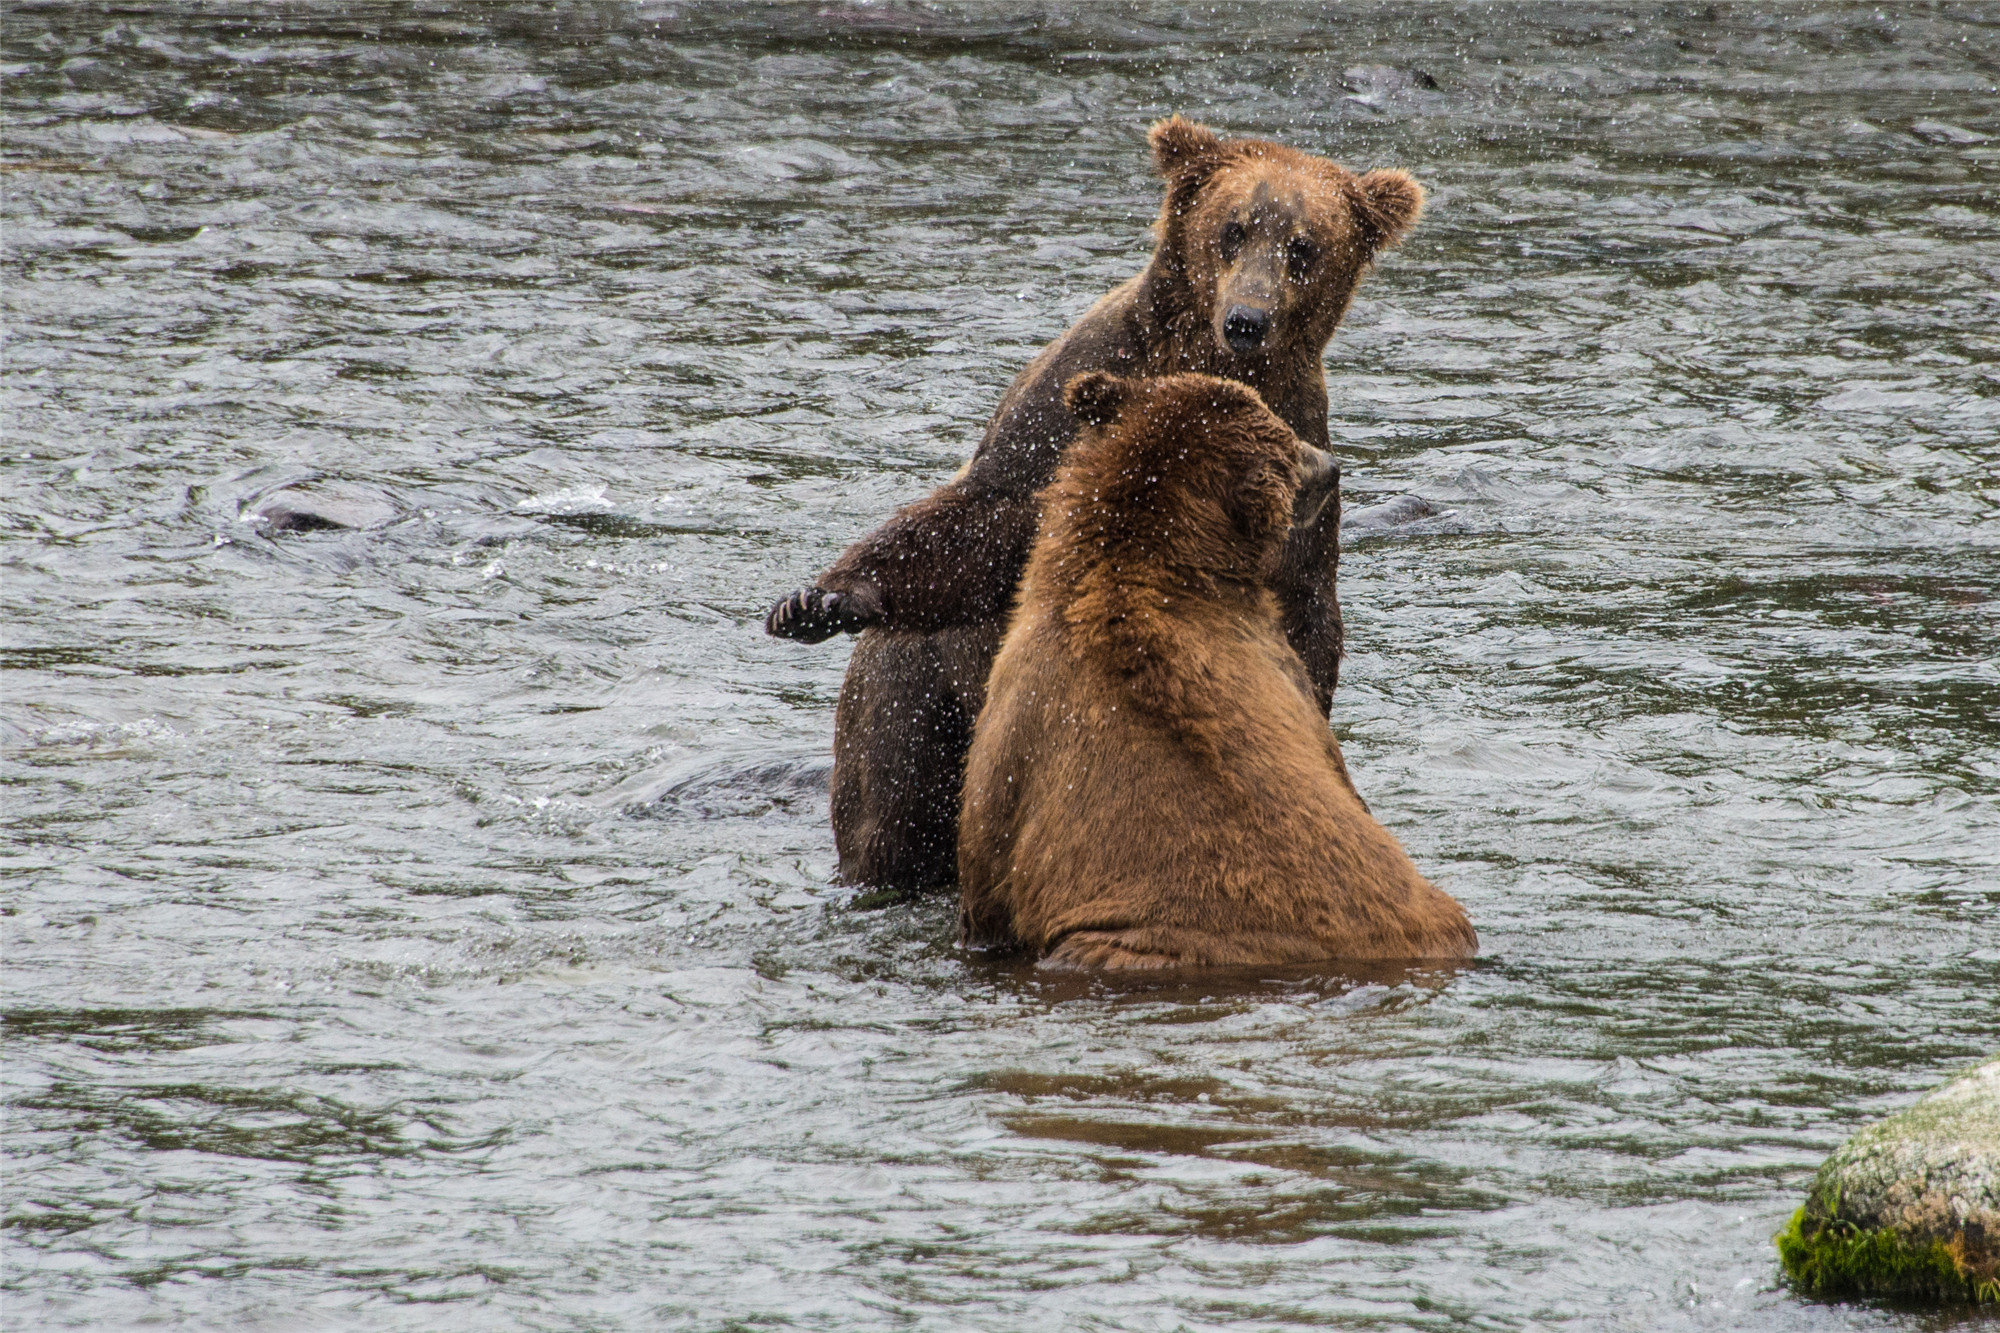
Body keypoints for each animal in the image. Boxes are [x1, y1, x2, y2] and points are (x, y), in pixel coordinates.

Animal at [764, 116, 1424, 892]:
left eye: (1303, 246)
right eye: (1232, 228)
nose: (1246, 319)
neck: (1199, 359)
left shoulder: (1299, 452)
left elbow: (1299, 604)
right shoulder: (1070, 397)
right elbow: (988, 510)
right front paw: (818, 599)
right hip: (912, 700)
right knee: (891, 812)